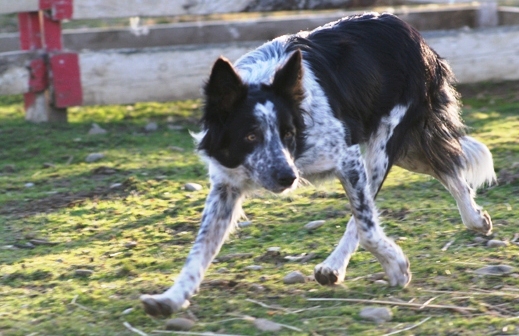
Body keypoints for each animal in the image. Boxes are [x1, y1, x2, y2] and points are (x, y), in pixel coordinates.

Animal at [141, 12, 496, 316]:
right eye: (250, 136)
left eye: (288, 133)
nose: (287, 178)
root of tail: (410, 31)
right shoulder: (227, 184)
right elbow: (199, 249)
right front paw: (172, 298)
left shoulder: (348, 159)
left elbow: (366, 225)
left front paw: (396, 266)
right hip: (406, 150)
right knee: (448, 168)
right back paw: (475, 218)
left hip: (385, 146)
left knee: (397, 194)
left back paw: (337, 265)